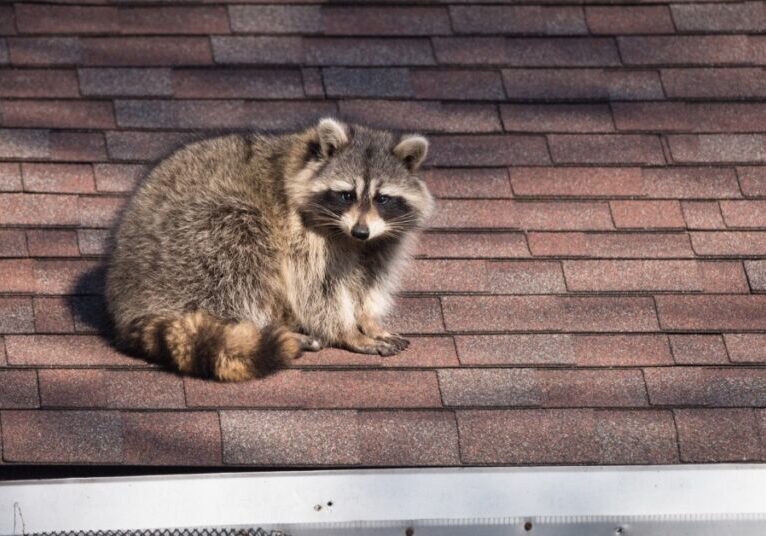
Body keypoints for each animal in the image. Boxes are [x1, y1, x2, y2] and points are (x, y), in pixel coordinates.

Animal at [105, 118, 434, 381]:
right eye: (346, 195)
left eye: (382, 198)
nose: (361, 231)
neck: (349, 237)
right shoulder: (303, 236)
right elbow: (317, 291)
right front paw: (348, 332)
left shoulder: (379, 241)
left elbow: (366, 282)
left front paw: (368, 320)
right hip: (192, 239)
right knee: (241, 258)